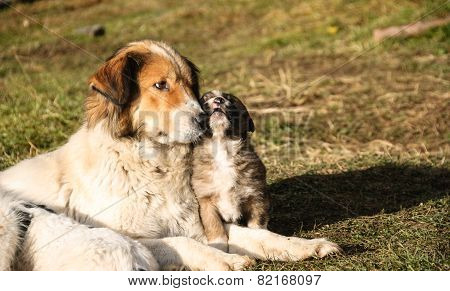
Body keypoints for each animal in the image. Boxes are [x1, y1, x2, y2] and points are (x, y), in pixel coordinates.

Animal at [192, 90, 268, 252]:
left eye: (231, 100)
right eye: (204, 100)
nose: (218, 100)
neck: (223, 148)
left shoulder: (256, 197)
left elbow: (257, 224)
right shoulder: (206, 201)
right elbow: (214, 227)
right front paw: (219, 248)